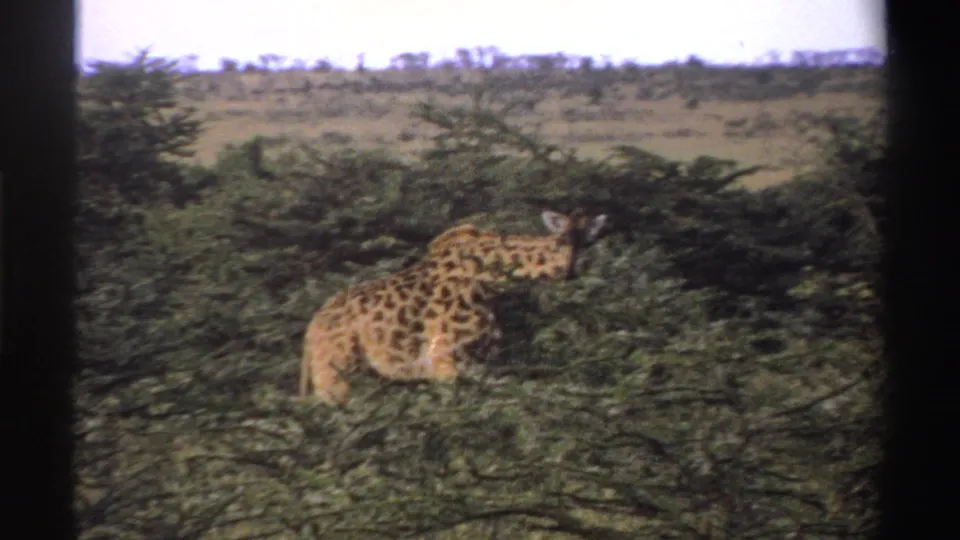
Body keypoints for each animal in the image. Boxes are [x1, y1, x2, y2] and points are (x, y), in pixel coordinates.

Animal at [299, 208, 608, 405]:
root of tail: (311, 332)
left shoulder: (483, 364)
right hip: (335, 378)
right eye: (560, 239)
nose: (572, 269)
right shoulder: (445, 360)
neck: (491, 278)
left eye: (590, 241)